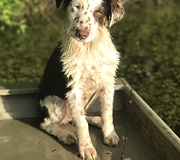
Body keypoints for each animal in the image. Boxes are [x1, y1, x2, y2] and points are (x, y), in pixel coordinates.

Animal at [38, 0, 124, 159]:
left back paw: (97, 120)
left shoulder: (108, 82)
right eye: (76, 7)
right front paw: (87, 148)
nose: (82, 34)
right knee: (46, 124)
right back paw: (64, 135)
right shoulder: (73, 90)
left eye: (99, 11)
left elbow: (107, 112)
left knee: (77, 116)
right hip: (55, 103)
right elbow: (82, 124)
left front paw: (109, 134)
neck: (88, 47)